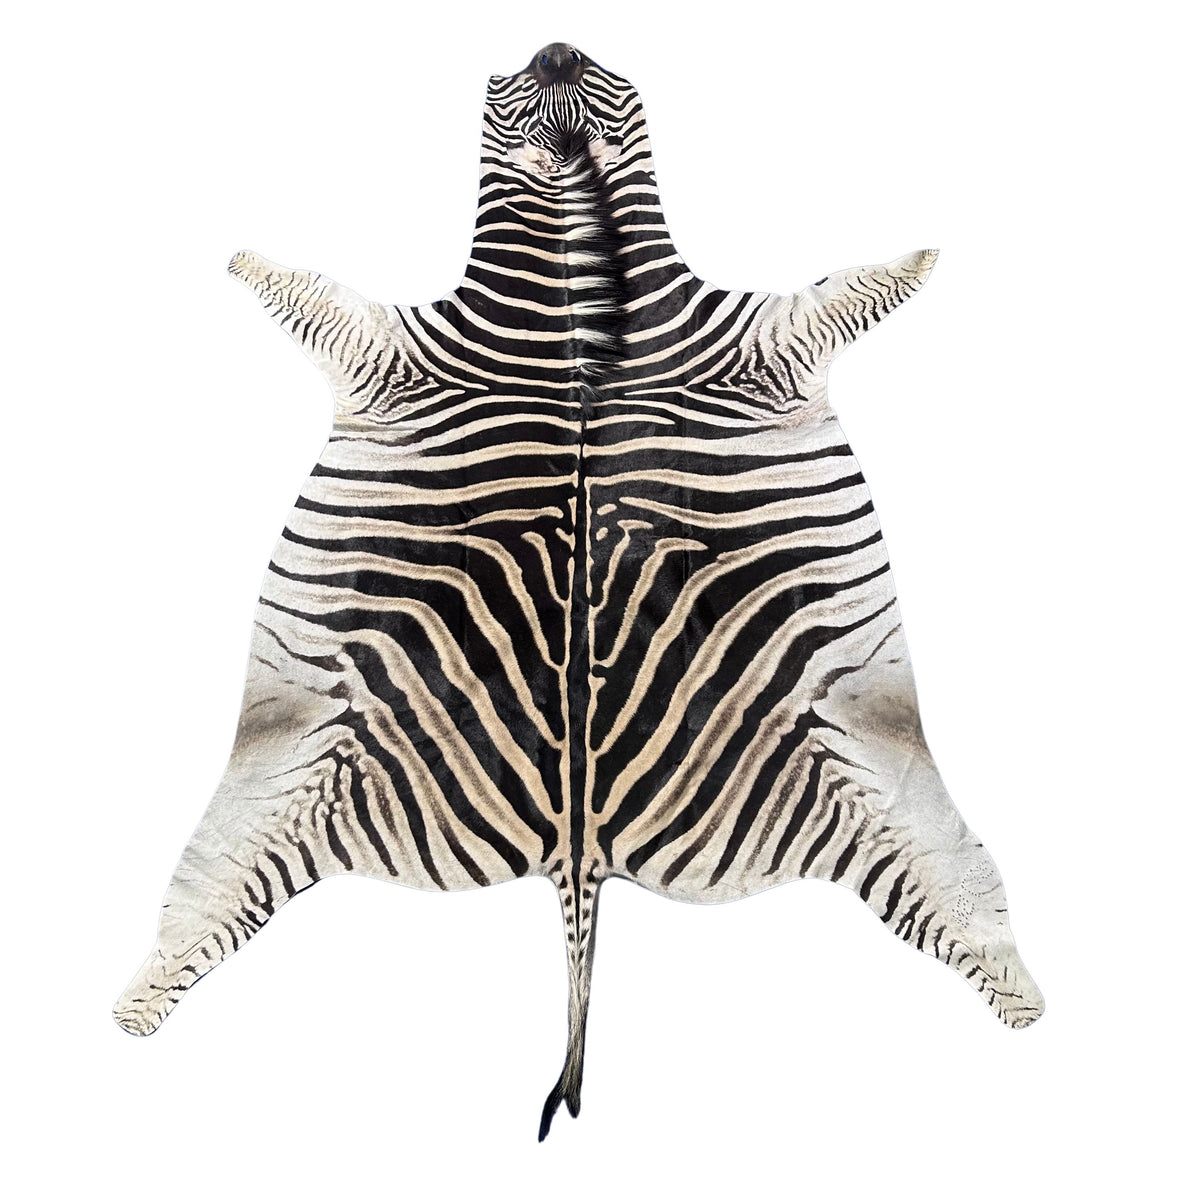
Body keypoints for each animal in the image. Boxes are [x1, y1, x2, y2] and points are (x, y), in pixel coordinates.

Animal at [114, 41, 1044, 1140]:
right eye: (521, 80)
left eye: (597, 77)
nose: (558, 46)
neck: (572, 314)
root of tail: (580, 849)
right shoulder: (392, 355)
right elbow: (307, 293)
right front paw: (244, 261)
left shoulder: (764, 346)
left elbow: (852, 287)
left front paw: (919, 260)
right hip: (291, 775)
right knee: (204, 907)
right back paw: (134, 1007)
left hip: (875, 775)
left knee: (961, 905)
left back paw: (1026, 1000)